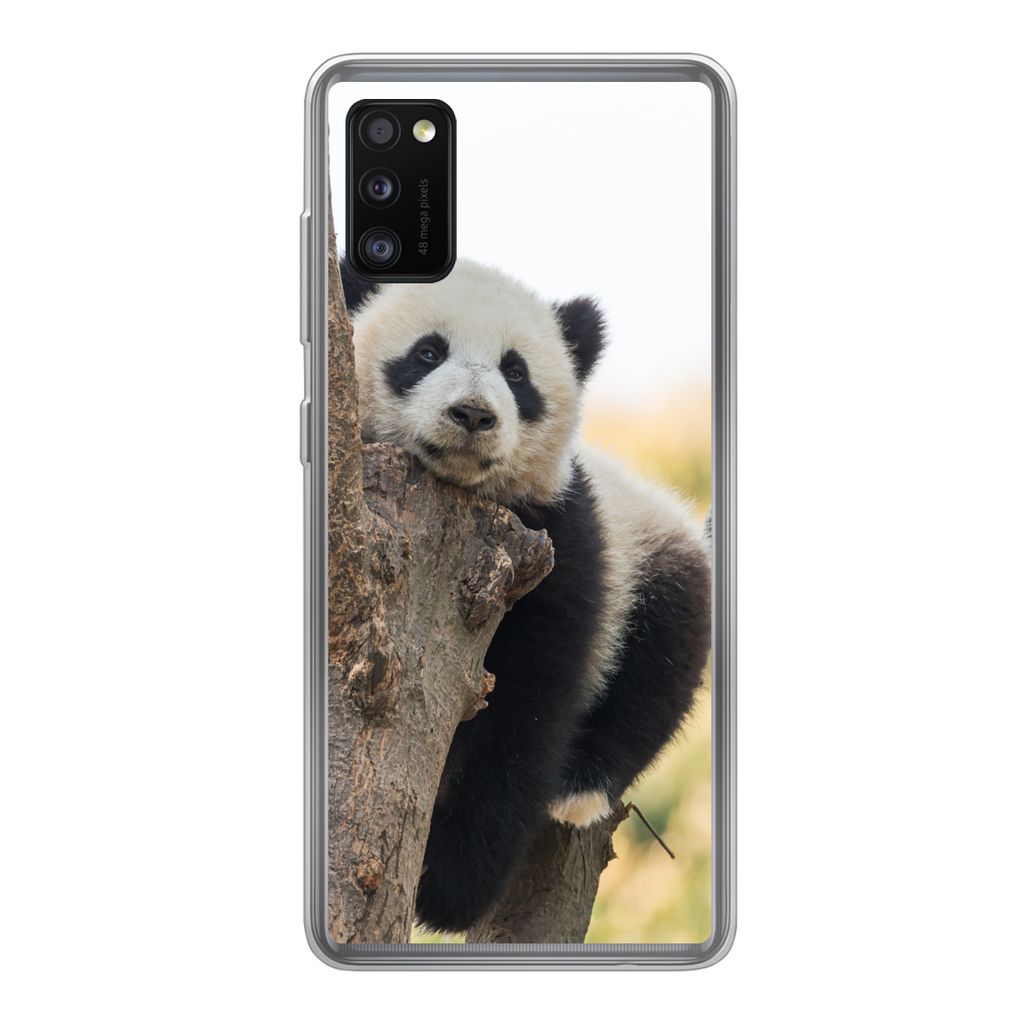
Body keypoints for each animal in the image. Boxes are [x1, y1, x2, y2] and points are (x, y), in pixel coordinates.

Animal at [341, 257, 712, 934]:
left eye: (516, 373)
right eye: (428, 352)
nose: (473, 415)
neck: (460, 493)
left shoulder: (558, 539)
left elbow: (529, 701)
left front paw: (447, 885)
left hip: (652, 555)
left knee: (660, 664)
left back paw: (580, 789)